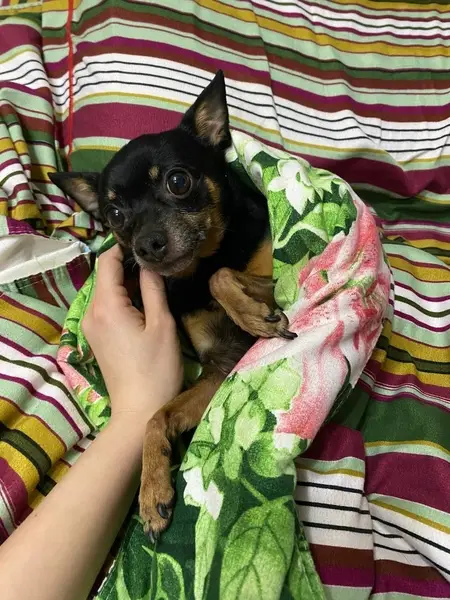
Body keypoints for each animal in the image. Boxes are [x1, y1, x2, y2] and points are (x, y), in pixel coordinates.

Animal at [50, 71, 296, 541]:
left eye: (178, 182)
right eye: (114, 215)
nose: (146, 246)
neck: (198, 268)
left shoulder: (282, 274)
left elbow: (223, 276)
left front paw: (253, 316)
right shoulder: (221, 367)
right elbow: (155, 418)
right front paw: (151, 490)